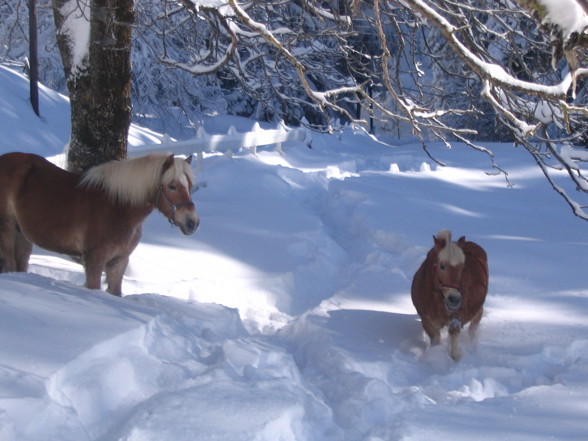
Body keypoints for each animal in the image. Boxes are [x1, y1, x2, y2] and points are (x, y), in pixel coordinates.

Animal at [0, 152, 200, 296]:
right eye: (172, 186)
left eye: (190, 186)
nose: (192, 222)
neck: (117, 208)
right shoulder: (95, 260)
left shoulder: (119, 262)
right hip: (7, 229)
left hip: (23, 235)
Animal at [412, 229, 490, 360]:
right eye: (442, 266)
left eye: (462, 267)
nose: (454, 299)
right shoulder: (427, 320)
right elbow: (435, 339)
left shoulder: (457, 316)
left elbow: (454, 332)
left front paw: (457, 355)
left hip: (477, 311)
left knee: (473, 328)